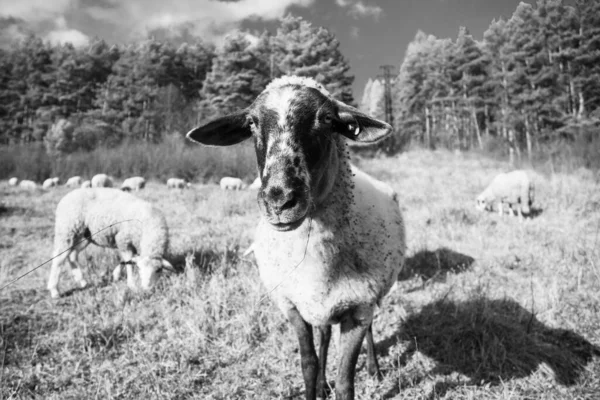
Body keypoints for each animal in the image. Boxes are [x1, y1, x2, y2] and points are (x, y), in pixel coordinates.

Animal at [185, 75, 406, 400]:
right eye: (251, 123)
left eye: (327, 119)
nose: (279, 200)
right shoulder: (291, 305)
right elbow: (308, 364)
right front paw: (317, 382)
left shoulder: (359, 307)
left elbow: (345, 381)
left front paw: (351, 377)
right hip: (318, 302)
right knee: (324, 335)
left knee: (369, 330)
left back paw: (374, 369)